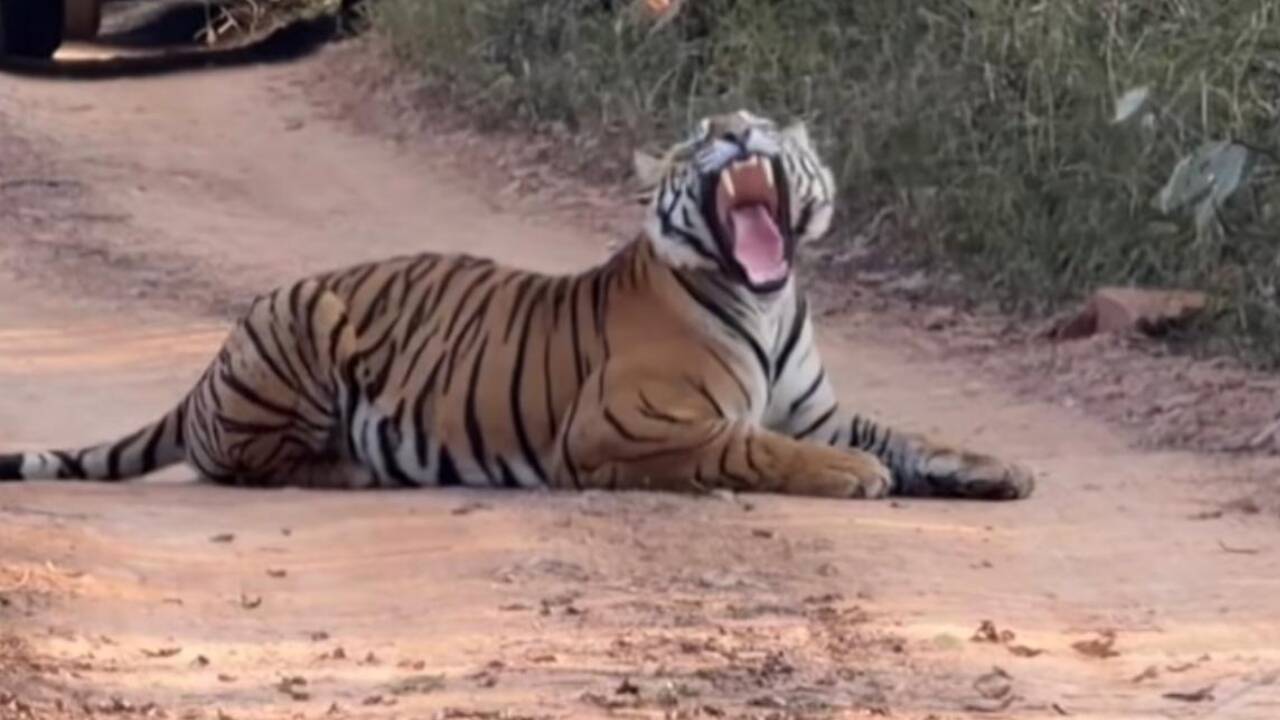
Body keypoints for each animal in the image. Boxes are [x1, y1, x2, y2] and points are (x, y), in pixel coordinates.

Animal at [0, 110, 1034, 501]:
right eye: (706, 133)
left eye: (765, 125)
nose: (738, 129)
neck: (767, 303)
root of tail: (211, 361)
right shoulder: (630, 425)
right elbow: (758, 446)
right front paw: (857, 476)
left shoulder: (819, 407)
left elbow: (907, 434)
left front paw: (996, 468)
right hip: (305, 326)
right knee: (240, 461)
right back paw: (350, 468)